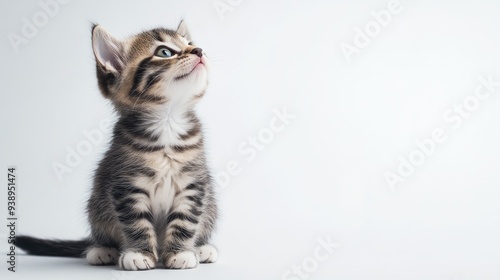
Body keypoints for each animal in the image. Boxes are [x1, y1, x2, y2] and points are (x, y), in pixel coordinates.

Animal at [16, 20, 217, 270]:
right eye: (164, 52)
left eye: (189, 43)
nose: (199, 50)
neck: (167, 123)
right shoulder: (126, 185)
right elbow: (136, 222)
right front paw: (139, 253)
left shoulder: (193, 185)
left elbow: (186, 220)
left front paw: (180, 252)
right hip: (96, 205)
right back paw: (101, 250)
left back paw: (202, 248)